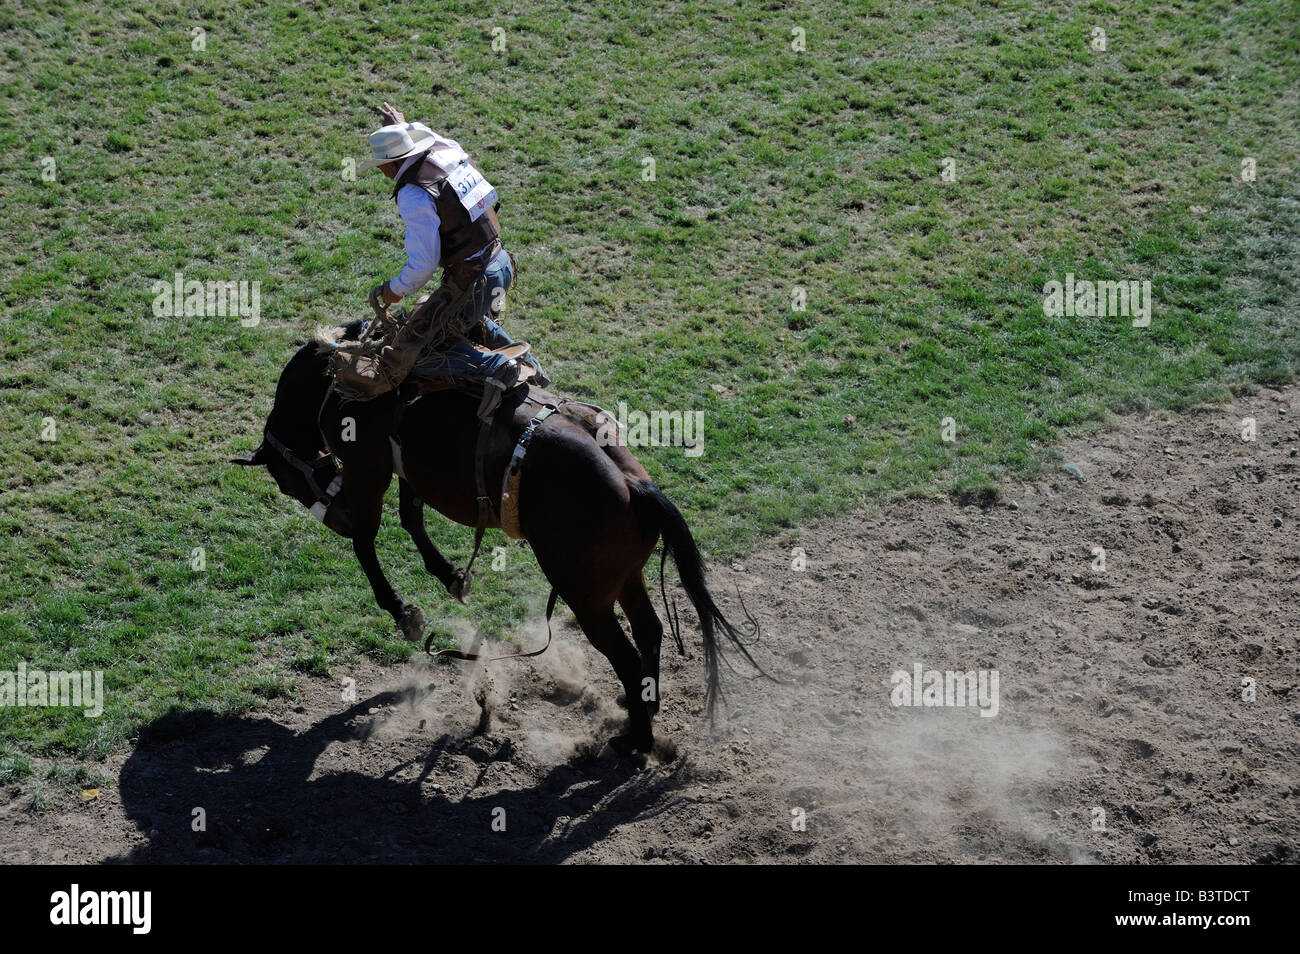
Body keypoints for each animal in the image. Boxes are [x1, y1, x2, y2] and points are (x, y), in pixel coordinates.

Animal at [235, 324, 759, 759]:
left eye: (284, 481)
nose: (336, 520)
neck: (334, 379)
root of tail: (636, 488)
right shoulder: (406, 471)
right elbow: (411, 518)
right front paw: (451, 577)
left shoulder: (368, 470)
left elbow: (368, 541)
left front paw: (404, 612)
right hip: (627, 577)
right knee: (650, 631)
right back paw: (641, 707)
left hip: (587, 596)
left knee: (626, 653)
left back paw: (636, 741)